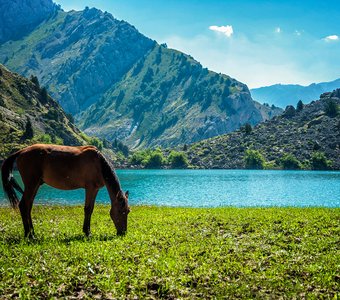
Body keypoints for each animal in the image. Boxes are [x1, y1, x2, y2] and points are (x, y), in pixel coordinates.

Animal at [0, 144, 130, 238]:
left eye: (128, 211)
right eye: (122, 211)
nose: (123, 232)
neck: (99, 164)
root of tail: (21, 152)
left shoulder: (95, 189)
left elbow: (91, 209)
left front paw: (87, 231)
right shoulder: (90, 188)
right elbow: (88, 209)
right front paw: (87, 232)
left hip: (35, 185)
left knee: (28, 206)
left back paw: (32, 232)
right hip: (31, 184)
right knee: (23, 205)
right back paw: (29, 234)